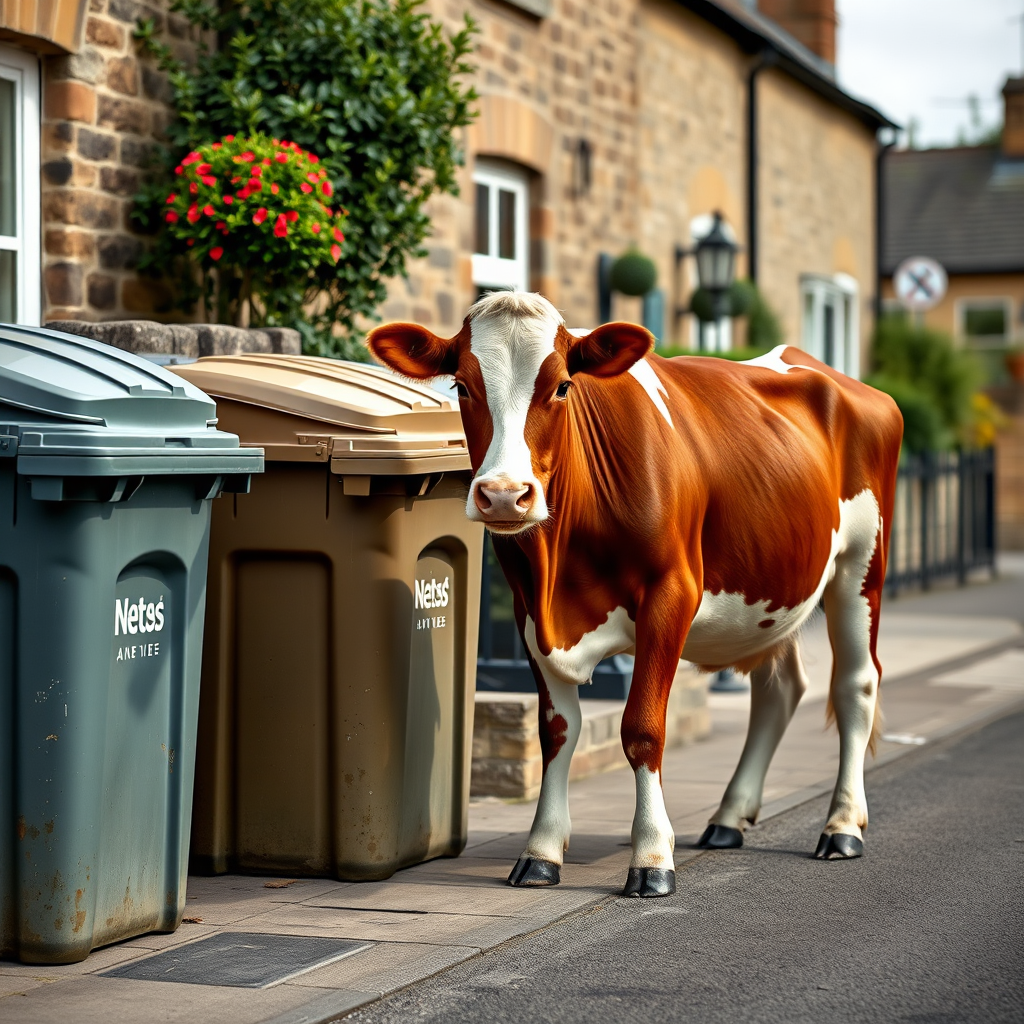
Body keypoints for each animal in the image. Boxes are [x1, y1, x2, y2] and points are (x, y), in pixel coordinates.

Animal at [368, 290, 903, 898]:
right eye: (460, 385)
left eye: (562, 386)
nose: (504, 495)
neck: (561, 570)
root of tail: (828, 370)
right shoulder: (529, 609)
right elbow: (556, 731)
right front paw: (541, 849)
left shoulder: (673, 593)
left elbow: (643, 728)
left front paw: (651, 856)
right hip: (777, 588)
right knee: (779, 688)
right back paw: (728, 817)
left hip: (861, 568)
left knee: (856, 685)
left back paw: (842, 826)